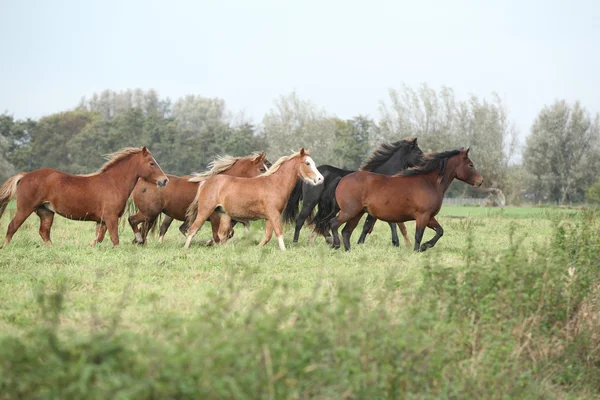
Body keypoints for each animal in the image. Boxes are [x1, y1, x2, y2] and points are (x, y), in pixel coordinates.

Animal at [0, 147, 169, 247]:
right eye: (151, 163)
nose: (164, 180)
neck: (113, 183)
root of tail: (24, 176)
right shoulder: (111, 217)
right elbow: (115, 239)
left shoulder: (103, 220)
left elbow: (99, 238)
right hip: (25, 209)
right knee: (12, 227)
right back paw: (6, 247)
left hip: (46, 212)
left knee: (44, 232)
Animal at [128, 152, 270, 244]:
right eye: (262, 169)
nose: (268, 180)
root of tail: (141, 181)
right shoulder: (214, 216)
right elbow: (218, 234)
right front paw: (211, 243)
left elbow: (231, 231)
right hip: (149, 213)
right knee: (136, 222)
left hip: (156, 215)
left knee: (156, 228)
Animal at [183, 148, 324, 250]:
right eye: (307, 163)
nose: (320, 179)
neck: (275, 184)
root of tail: (205, 182)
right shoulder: (274, 214)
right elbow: (279, 232)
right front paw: (284, 251)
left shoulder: (269, 217)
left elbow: (267, 236)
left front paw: (256, 248)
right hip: (205, 211)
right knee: (193, 229)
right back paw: (185, 249)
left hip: (223, 214)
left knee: (221, 235)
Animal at [284, 138, 422, 245]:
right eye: (419, 152)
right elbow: (381, 224)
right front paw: (395, 242)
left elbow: (376, 225)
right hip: (310, 202)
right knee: (301, 221)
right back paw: (296, 243)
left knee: (321, 222)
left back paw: (327, 240)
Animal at [312, 148, 486, 252]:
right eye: (470, 165)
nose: (481, 181)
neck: (429, 182)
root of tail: (341, 179)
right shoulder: (422, 216)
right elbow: (418, 235)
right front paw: (417, 250)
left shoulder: (430, 217)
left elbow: (440, 231)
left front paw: (426, 246)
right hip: (349, 211)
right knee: (334, 224)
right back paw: (335, 244)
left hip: (357, 213)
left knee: (346, 231)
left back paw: (348, 250)